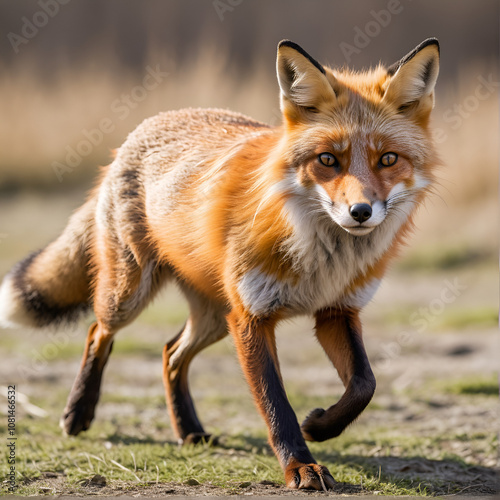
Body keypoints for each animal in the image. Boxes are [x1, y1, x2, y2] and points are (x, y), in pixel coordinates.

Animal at [0, 40, 438, 492]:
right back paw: (78, 413)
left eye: (388, 159)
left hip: (214, 316)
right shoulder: (251, 318)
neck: (319, 261)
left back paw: (188, 430)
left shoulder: (336, 311)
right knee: (97, 332)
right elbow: (276, 405)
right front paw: (300, 465)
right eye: (328, 160)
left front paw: (320, 426)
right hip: (130, 295)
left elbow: (364, 384)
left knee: (170, 352)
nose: (361, 212)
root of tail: (145, 128)